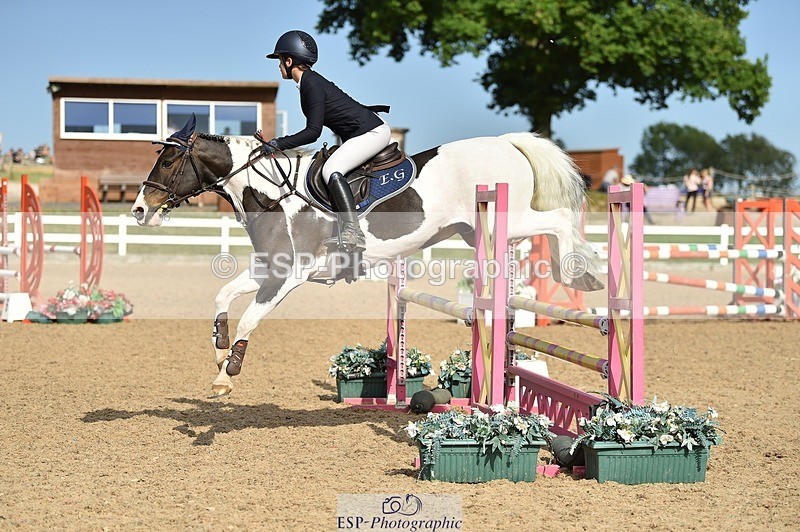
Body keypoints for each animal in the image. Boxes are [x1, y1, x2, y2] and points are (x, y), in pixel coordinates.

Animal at [131, 117, 603, 397]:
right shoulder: (268, 269)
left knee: (561, 219)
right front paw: (219, 351)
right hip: (477, 232)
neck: (271, 194)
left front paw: (224, 377)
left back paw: (582, 275)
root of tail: (507, 144)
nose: (139, 210)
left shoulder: (287, 277)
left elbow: (249, 319)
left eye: (169, 161)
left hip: (511, 217)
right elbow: (222, 298)